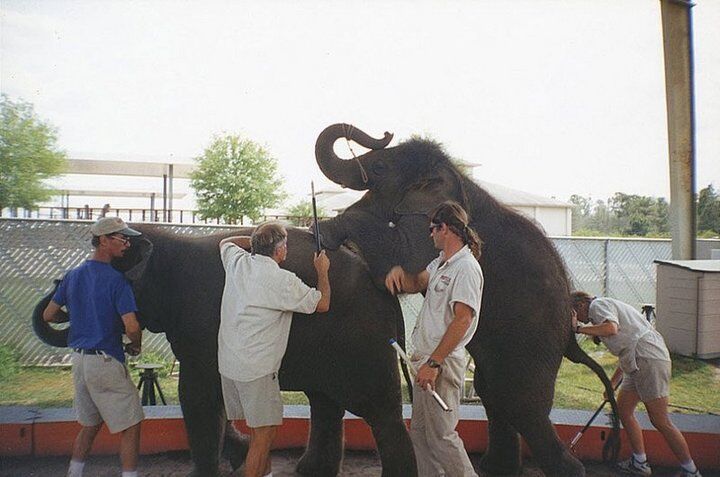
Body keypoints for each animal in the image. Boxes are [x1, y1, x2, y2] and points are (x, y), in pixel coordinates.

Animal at [35, 226, 416, 476]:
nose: (57, 283)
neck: (169, 246)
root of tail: (383, 285)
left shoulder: (200, 327)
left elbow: (197, 395)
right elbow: (214, 396)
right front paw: (242, 453)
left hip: (361, 343)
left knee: (378, 411)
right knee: (325, 402)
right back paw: (307, 472)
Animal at [312, 123, 620, 476]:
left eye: (378, 167)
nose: (386, 132)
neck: (452, 175)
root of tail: (570, 332)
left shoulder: (427, 224)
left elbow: (399, 252)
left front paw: (325, 228)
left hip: (534, 341)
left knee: (523, 405)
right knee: (494, 393)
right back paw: (495, 468)